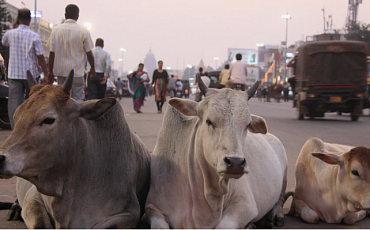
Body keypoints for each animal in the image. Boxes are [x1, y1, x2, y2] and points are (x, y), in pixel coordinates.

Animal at [0, 71, 150, 229]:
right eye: (16, 117)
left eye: (48, 120)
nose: (1, 158)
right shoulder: (34, 197)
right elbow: (40, 224)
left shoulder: (128, 214)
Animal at [145, 76, 290, 228]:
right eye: (209, 121)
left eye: (248, 124)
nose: (236, 163)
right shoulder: (152, 207)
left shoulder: (245, 205)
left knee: (280, 200)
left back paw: (276, 216)